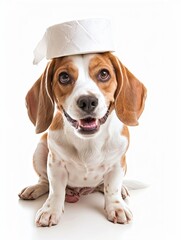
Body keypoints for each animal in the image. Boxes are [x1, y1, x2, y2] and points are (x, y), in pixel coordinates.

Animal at [18, 52, 146, 227]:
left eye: (104, 74)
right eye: (64, 77)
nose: (87, 101)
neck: (88, 142)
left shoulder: (118, 163)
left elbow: (112, 188)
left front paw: (116, 206)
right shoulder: (55, 163)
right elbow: (55, 190)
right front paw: (50, 210)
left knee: (104, 186)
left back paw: (121, 189)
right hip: (40, 150)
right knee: (45, 181)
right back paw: (35, 188)